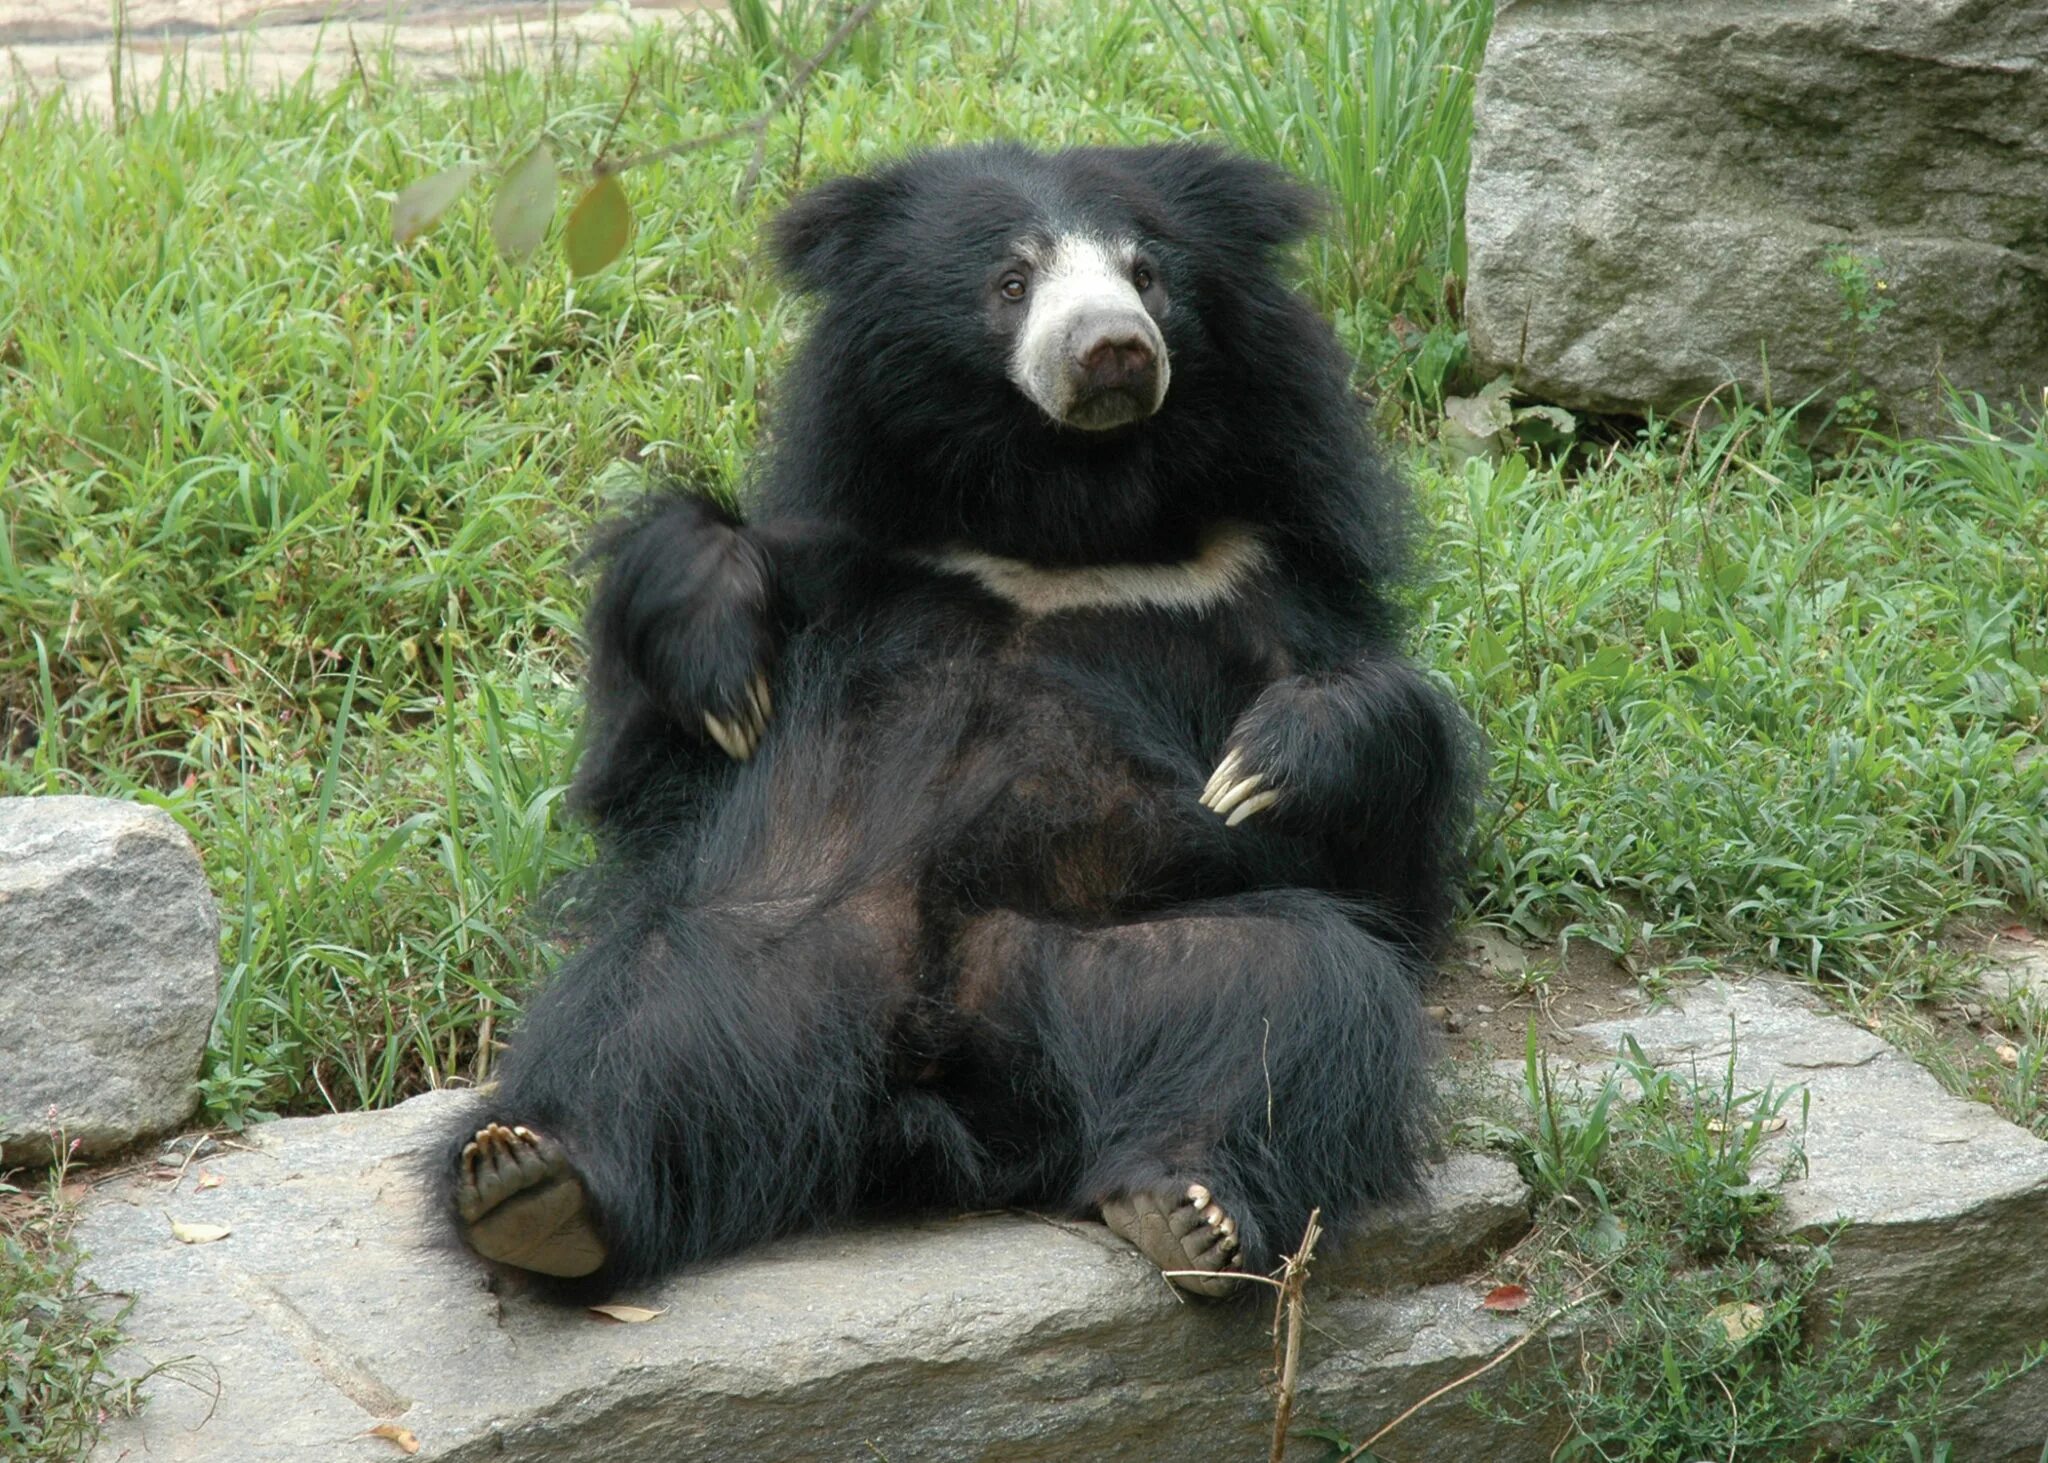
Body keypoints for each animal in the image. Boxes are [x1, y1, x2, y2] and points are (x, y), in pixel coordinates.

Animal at [444, 142, 1474, 1294]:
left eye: (1148, 273)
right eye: (1011, 281)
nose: (1114, 350)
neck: (1066, 514)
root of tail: (938, 1074)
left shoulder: (1260, 583)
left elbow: (1383, 854)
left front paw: (1268, 763)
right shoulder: (856, 560)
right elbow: (651, 764)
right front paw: (721, 666)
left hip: (1118, 970)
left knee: (1300, 996)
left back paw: (1188, 1207)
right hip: (762, 960)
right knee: (640, 1024)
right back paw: (532, 1181)